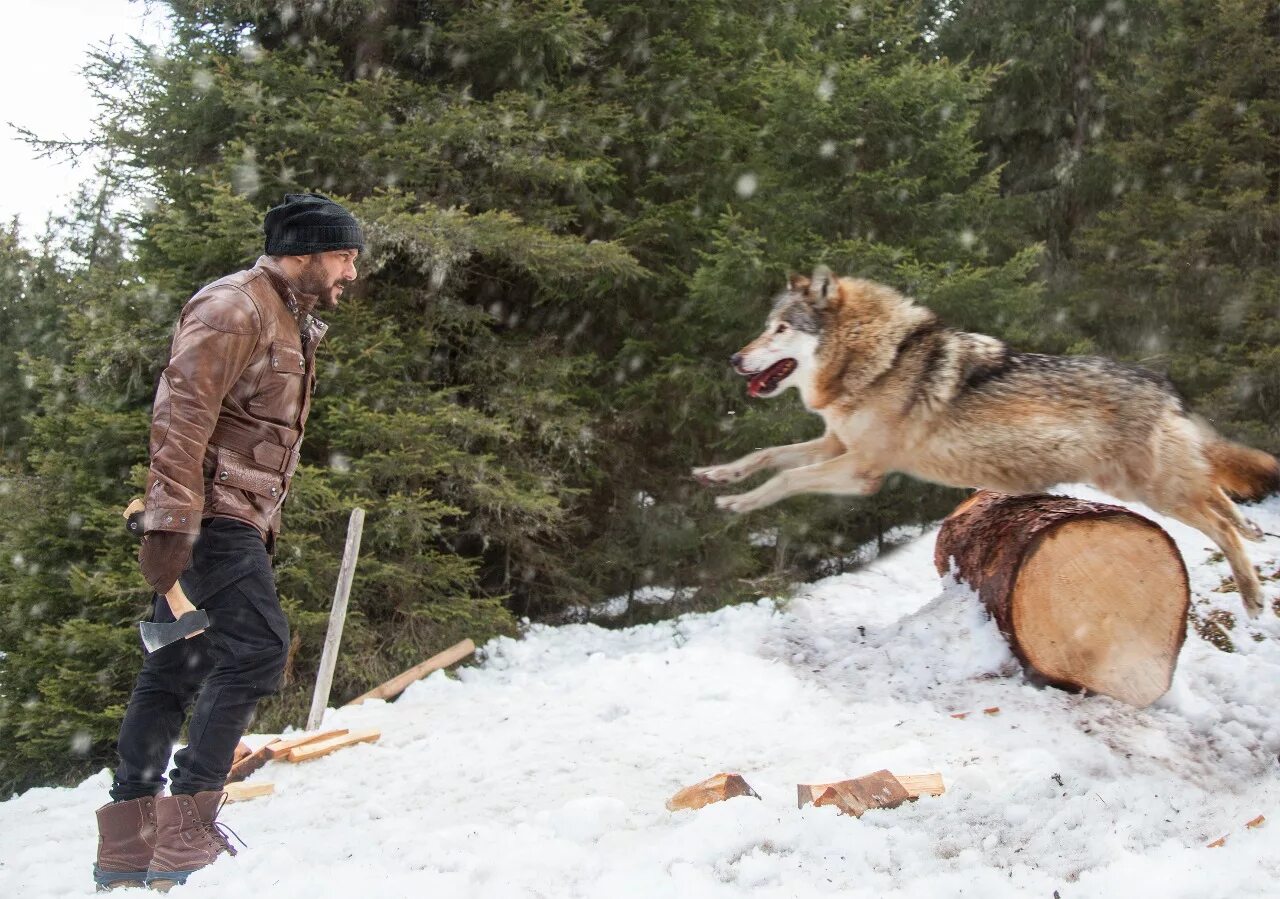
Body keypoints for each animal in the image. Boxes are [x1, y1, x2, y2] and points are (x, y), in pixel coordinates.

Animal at [696, 271, 1280, 617]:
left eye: (780, 329)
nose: (732, 359)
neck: (876, 360)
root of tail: (1163, 383)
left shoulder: (863, 471)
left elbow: (785, 477)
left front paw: (738, 505)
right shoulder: (834, 443)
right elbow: (767, 456)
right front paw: (717, 477)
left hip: (1147, 490)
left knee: (1222, 525)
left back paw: (1252, 595)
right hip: (1148, 485)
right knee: (1221, 498)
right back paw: (1257, 535)